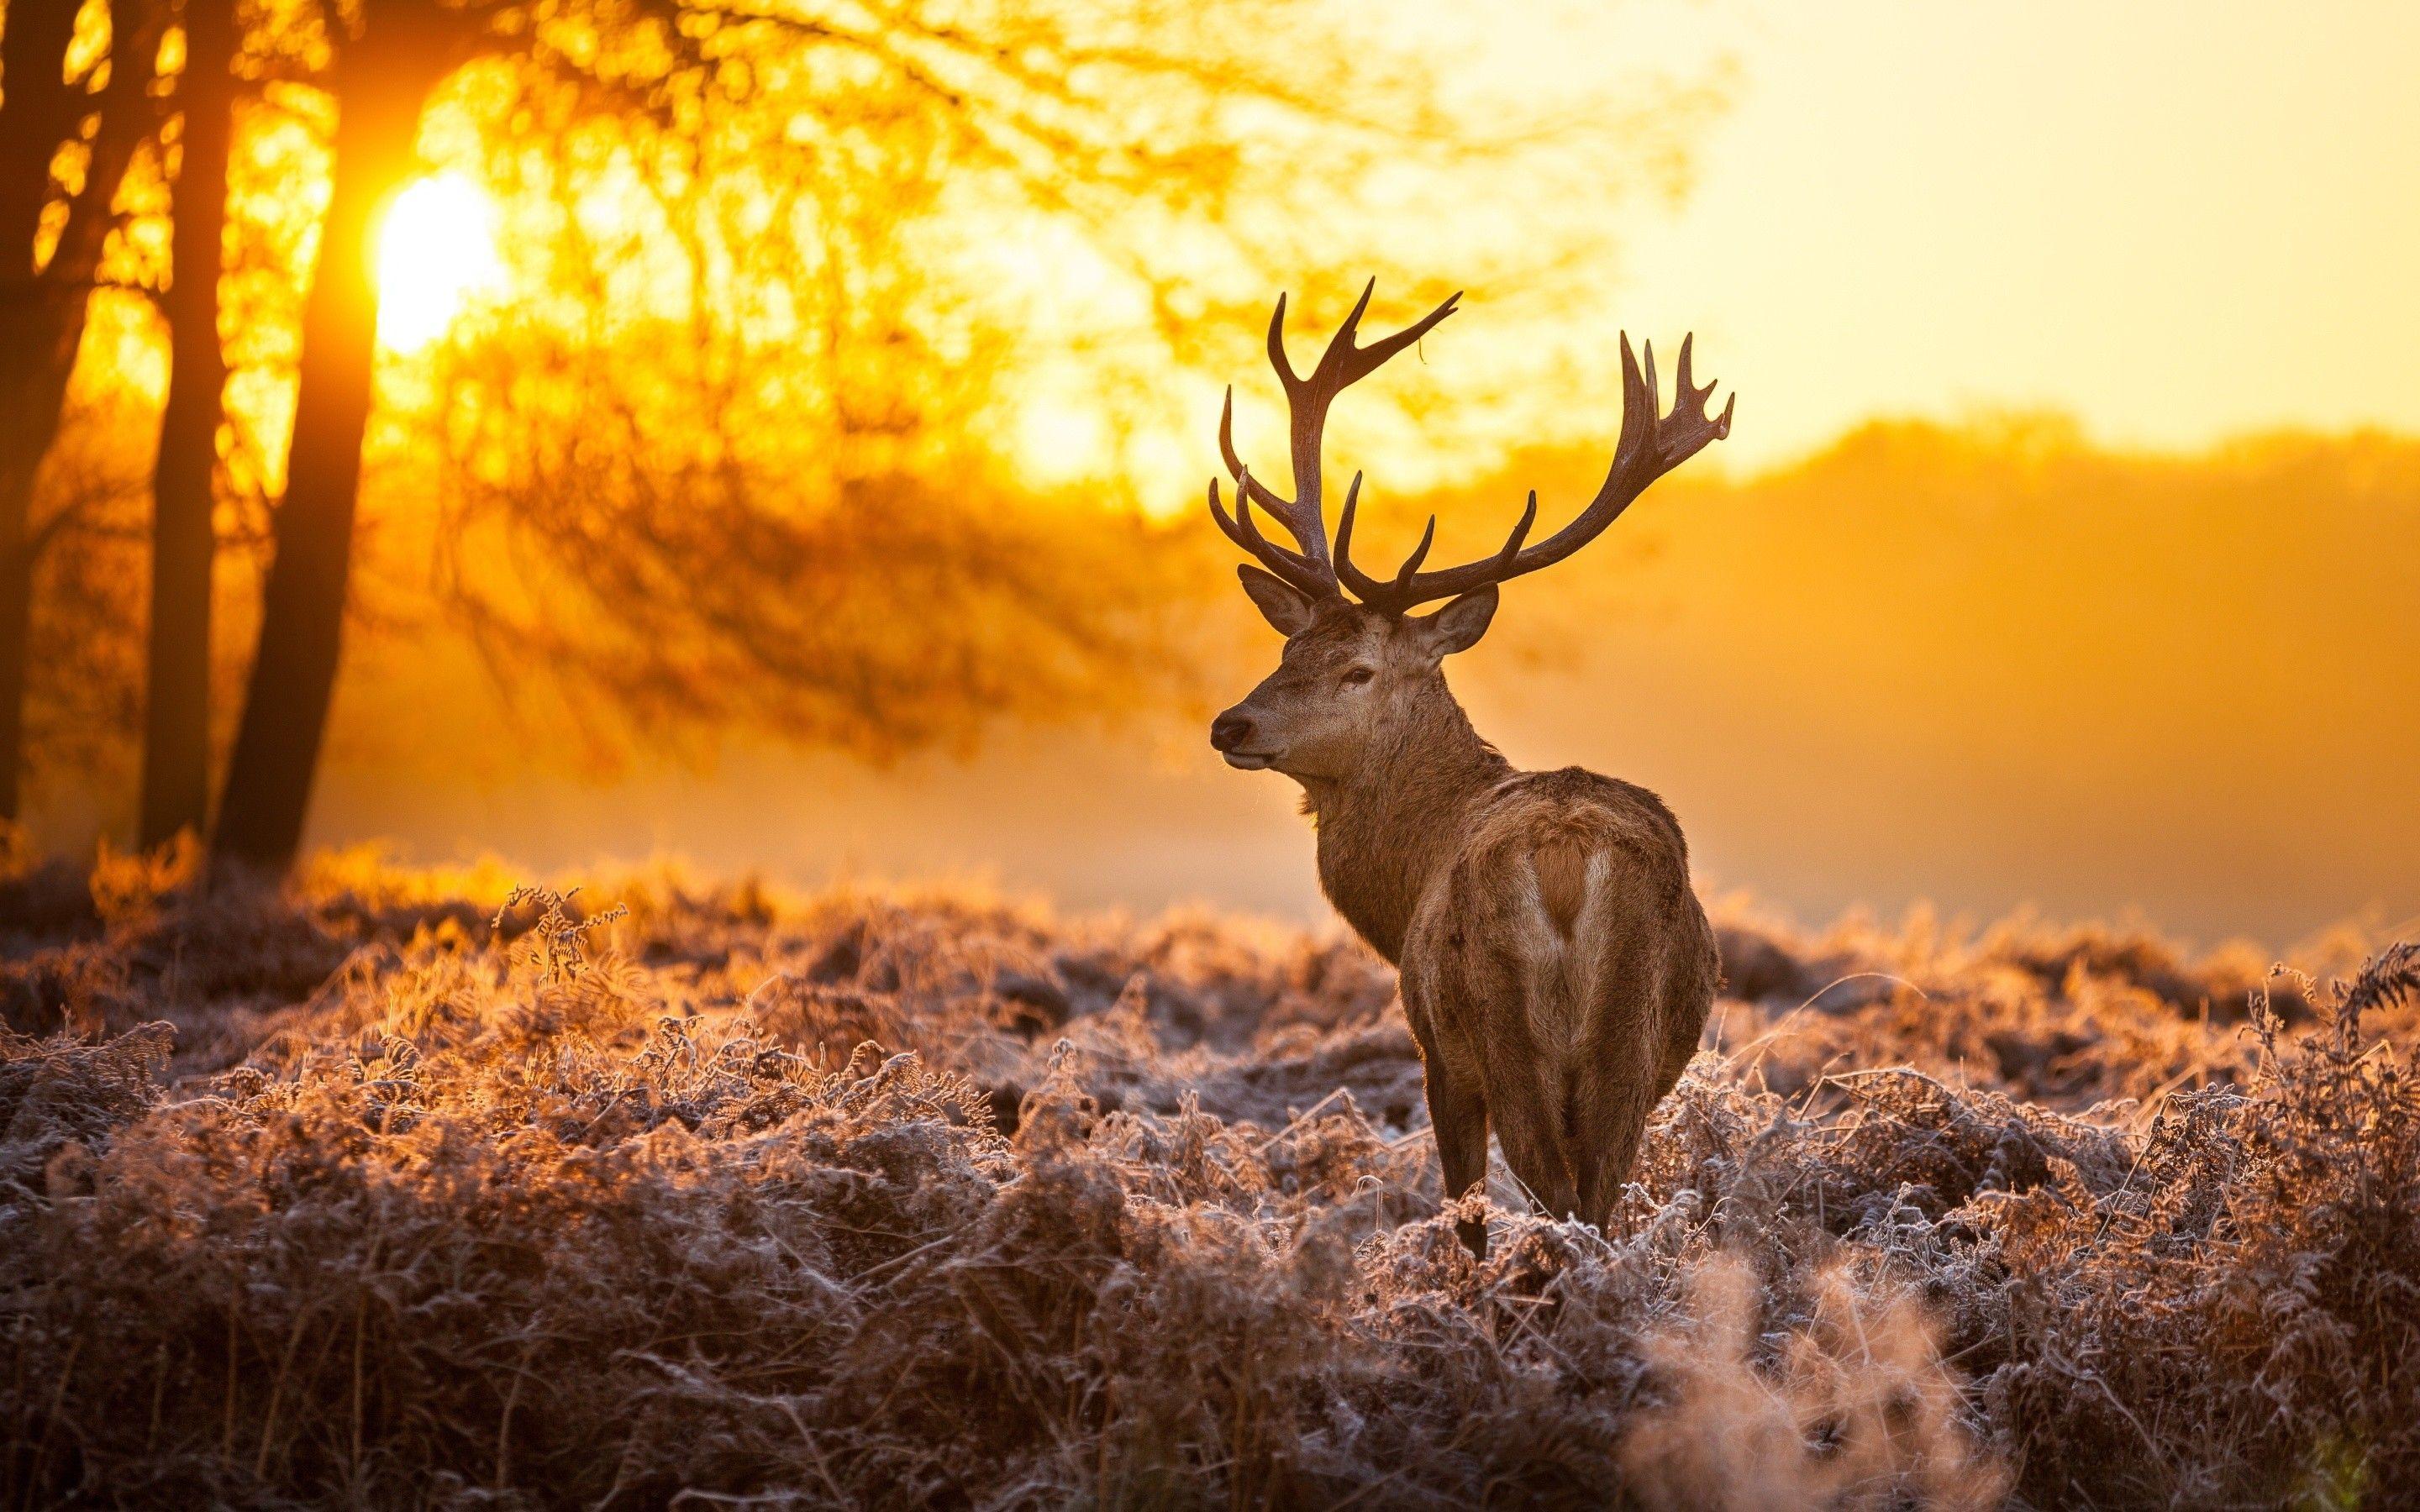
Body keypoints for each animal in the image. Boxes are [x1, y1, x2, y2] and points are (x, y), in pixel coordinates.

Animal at [1205, 281, 1733, 1259]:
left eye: (1357, 669)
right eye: (1289, 647)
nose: (1231, 722)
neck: (1403, 879)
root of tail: (1568, 860)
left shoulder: (1436, 1052)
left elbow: (1466, 1212)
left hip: (1501, 1028)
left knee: (1555, 1197)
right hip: (1630, 1047)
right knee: (1599, 1198)